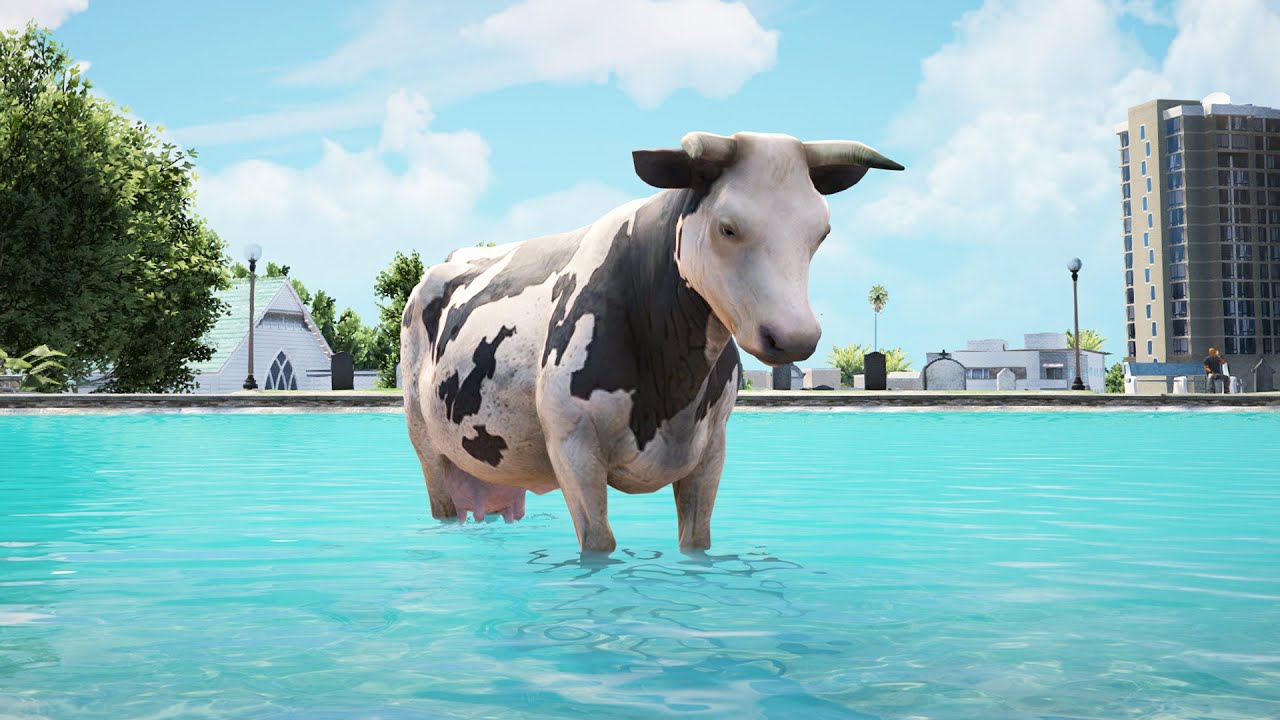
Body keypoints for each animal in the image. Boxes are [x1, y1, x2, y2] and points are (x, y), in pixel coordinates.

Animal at [401, 131, 902, 553]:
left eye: (821, 232)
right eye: (727, 227)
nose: (795, 336)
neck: (672, 384)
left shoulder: (712, 448)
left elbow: (696, 540)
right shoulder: (572, 446)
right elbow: (599, 545)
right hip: (426, 444)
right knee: (441, 495)